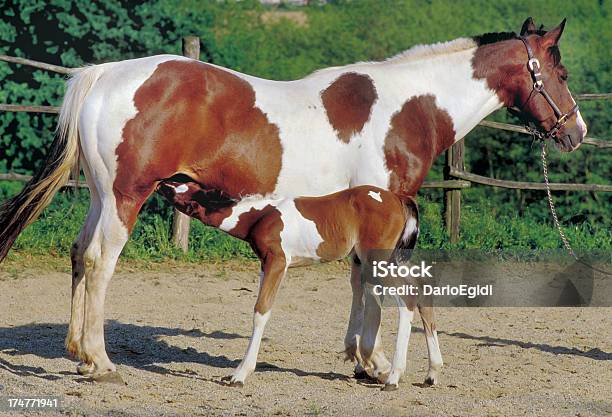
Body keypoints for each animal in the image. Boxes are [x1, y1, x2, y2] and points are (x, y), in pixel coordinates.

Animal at [155, 180, 438, 388]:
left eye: (185, 193)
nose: (162, 183)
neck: (261, 215)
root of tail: (397, 198)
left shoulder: (277, 262)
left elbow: (261, 311)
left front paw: (240, 374)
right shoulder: (265, 265)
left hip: (377, 261)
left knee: (408, 297)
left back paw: (394, 376)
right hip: (385, 260)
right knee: (420, 288)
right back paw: (431, 372)